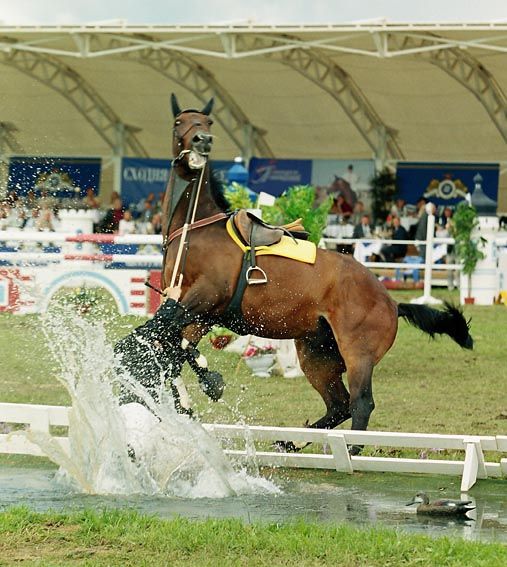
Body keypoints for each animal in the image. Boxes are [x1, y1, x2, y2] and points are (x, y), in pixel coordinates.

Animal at [142, 94, 472, 448]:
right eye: (179, 123)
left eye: (208, 122)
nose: (202, 141)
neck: (197, 229)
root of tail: (391, 302)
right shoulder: (199, 314)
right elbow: (173, 347)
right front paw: (187, 395)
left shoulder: (203, 298)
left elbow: (170, 341)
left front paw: (206, 383)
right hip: (317, 354)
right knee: (338, 404)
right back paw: (294, 442)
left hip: (358, 354)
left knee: (361, 403)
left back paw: (351, 450)